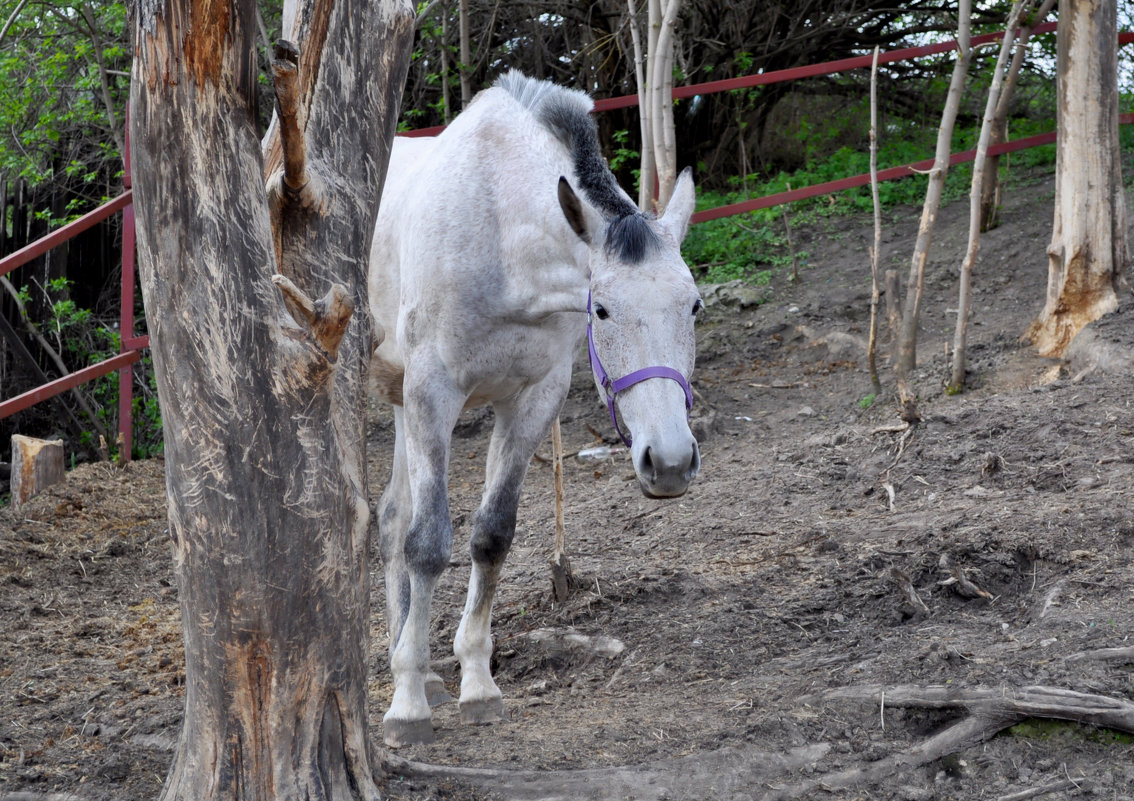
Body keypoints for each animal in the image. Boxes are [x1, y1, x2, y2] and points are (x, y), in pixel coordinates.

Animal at [367, 70, 698, 748]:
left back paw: (426, 672)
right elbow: (429, 544)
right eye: (603, 311)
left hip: (401, 403)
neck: (499, 230)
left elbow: (491, 536)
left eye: (696, 306)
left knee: (390, 518)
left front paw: (476, 684)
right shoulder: (435, 393)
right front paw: (405, 706)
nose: (671, 462)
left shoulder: (533, 399)